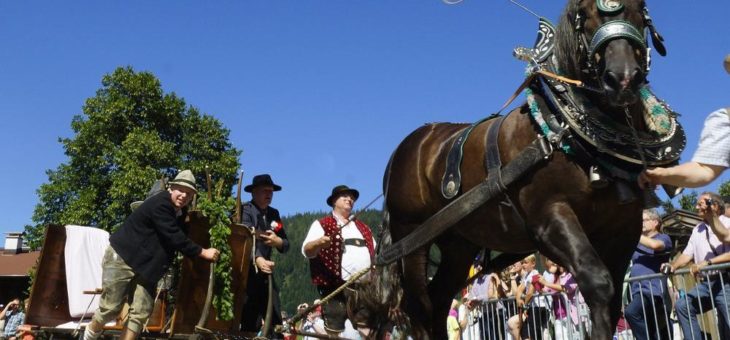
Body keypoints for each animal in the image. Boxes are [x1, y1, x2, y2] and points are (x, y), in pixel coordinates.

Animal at [358, 0, 684, 340]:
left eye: (640, 8)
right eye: (585, 14)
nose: (622, 78)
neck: (566, 133)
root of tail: (404, 149)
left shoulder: (624, 230)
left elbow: (613, 301)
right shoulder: (548, 218)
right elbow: (598, 283)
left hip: (459, 245)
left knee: (439, 299)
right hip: (411, 237)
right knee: (419, 308)